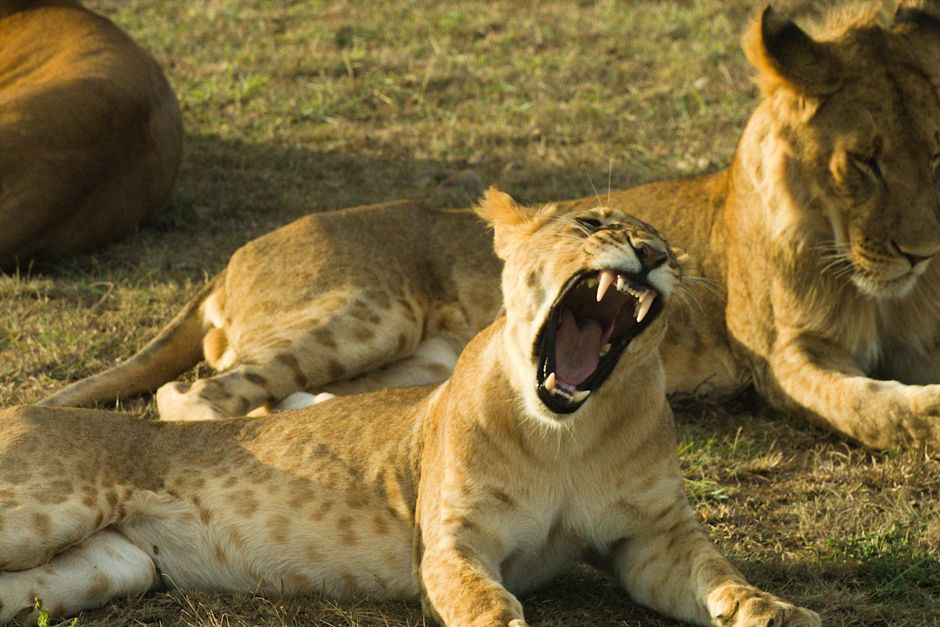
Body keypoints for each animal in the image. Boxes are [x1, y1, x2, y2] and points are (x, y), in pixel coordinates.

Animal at [0, 191, 819, 626]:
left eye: (671, 251)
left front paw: (773, 609)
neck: (568, 434)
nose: (651, 256)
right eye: (590, 224)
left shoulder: (652, 537)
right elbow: (487, 607)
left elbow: (720, 573)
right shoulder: (454, 543)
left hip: (109, 565)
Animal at [42, 1, 940, 450]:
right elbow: (871, 404)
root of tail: (226, 263)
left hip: (406, 356)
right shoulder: (783, 356)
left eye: (936, 149)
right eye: (864, 160)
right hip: (362, 311)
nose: (920, 253)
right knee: (190, 395)